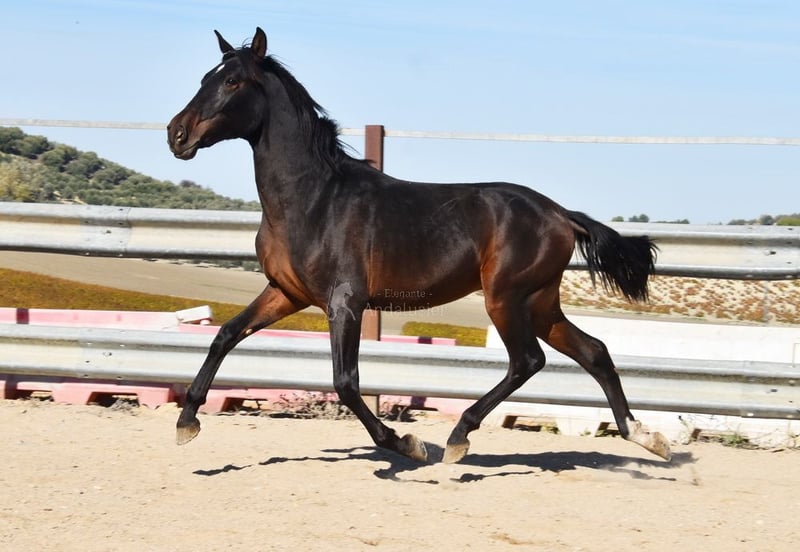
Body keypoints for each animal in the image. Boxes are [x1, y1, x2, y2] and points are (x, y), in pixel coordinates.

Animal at [167, 27, 671, 464]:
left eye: (232, 80)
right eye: (205, 76)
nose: (177, 134)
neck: (313, 199)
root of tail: (560, 214)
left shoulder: (345, 302)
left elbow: (345, 382)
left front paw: (405, 443)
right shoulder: (286, 293)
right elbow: (225, 335)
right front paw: (187, 422)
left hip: (506, 298)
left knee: (527, 360)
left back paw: (458, 437)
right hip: (540, 302)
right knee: (594, 351)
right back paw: (646, 437)